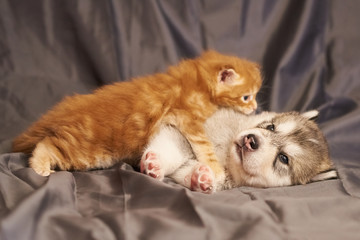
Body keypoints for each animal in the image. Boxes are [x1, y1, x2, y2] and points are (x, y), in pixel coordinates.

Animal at [11, 50, 262, 178]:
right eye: (246, 97)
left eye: (254, 96)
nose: (254, 107)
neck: (200, 84)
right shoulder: (186, 118)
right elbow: (204, 146)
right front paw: (216, 169)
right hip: (85, 151)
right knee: (47, 145)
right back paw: (39, 166)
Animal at [139, 109, 336, 193]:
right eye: (271, 127)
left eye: (283, 158)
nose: (251, 141)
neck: (225, 154)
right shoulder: (183, 132)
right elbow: (172, 148)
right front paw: (155, 164)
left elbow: (186, 172)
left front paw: (201, 177)